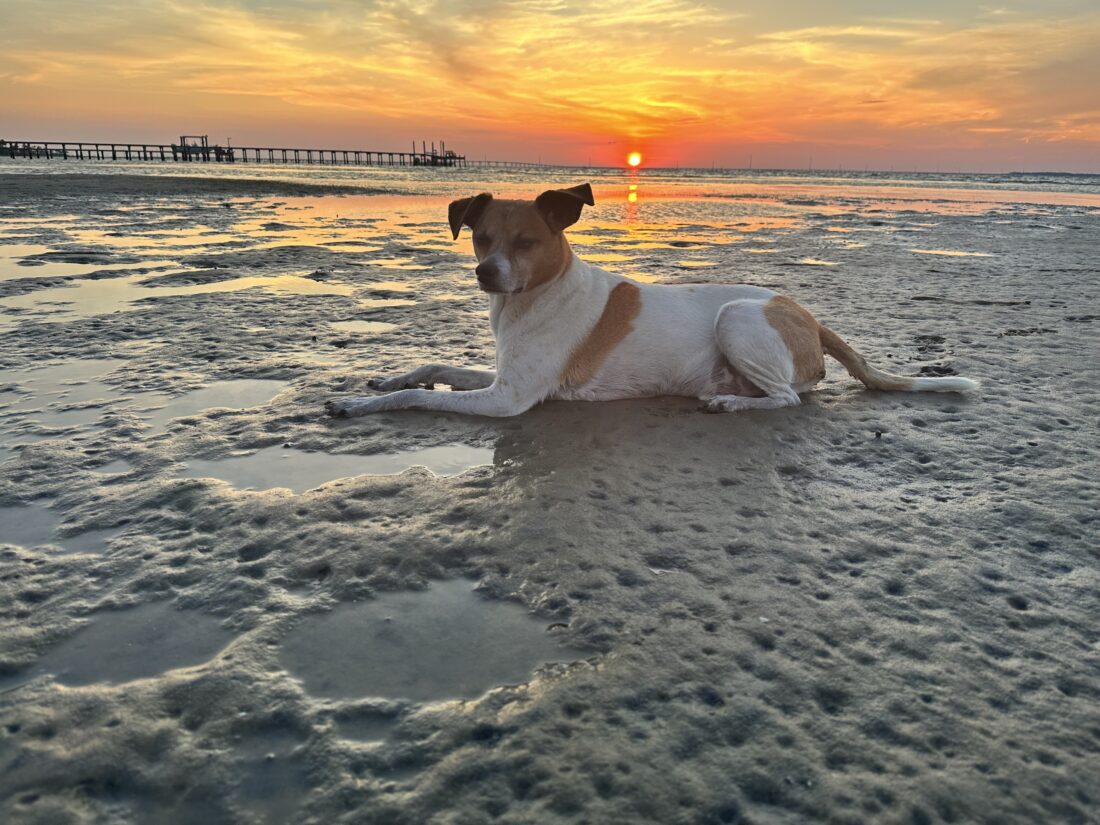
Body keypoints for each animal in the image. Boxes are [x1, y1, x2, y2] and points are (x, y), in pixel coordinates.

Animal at [321, 184, 976, 422]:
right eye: (480, 238)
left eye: (527, 242)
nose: (486, 273)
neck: (536, 299)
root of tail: (810, 319)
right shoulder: (503, 375)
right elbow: (430, 367)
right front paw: (385, 378)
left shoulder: (508, 399)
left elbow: (415, 398)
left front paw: (358, 404)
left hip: (737, 317)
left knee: (788, 398)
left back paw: (731, 405)